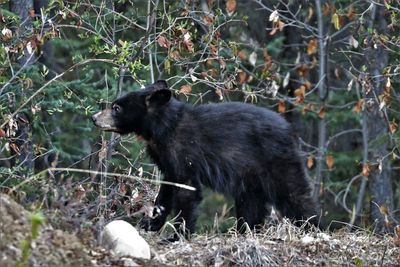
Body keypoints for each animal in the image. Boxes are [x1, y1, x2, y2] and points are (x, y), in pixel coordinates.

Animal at [91, 80, 318, 238]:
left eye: (117, 108)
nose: (94, 118)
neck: (163, 127)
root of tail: (291, 131)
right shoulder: (167, 159)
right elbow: (166, 190)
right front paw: (151, 223)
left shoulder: (184, 152)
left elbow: (187, 191)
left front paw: (178, 235)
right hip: (250, 174)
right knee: (251, 203)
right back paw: (246, 231)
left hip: (275, 160)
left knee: (295, 193)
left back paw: (312, 227)